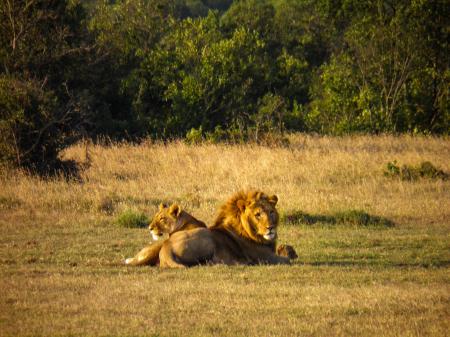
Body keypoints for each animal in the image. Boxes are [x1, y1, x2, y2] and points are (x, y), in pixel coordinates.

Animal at [156, 190, 294, 266]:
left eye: (271, 212)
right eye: (257, 214)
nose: (270, 228)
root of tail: (166, 246)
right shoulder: (265, 257)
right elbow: (287, 260)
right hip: (206, 237)